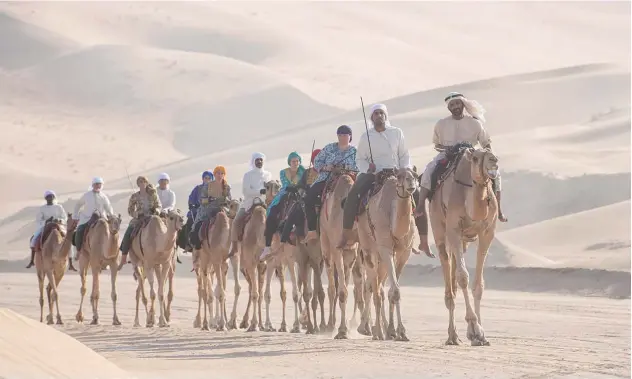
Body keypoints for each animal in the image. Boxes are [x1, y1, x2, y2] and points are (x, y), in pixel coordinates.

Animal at [237, 181, 282, 332]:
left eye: (278, 184)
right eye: (267, 186)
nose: (277, 189)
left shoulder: (270, 262)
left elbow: (266, 295)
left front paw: (269, 325)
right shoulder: (250, 262)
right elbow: (255, 294)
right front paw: (253, 324)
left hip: (260, 266)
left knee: (259, 290)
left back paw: (261, 324)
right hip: (244, 265)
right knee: (252, 288)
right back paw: (243, 322)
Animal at [318, 171, 362, 340]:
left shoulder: (351, 253)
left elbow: (346, 290)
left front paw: (345, 329)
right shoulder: (338, 250)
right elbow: (341, 291)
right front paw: (342, 330)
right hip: (325, 243)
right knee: (331, 287)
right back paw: (329, 325)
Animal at [356, 168, 420, 342]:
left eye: (415, 175)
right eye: (400, 176)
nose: (411, 184)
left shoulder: (404, 252)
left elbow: (394, 291)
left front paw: (396, 332)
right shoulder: (385, 247)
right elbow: (393, 290)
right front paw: (396, 331)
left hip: (381, 260)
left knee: (377, 288)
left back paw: (379, 330)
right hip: (368, 248)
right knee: (373, 289)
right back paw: (374, 331)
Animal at [430, 146, 498, 348]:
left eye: (491, 152)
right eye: (475, 158)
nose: (494, 161)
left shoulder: (487, 232)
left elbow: (478, 284)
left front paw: (481, 335)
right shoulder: (453, 229)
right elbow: (463, 278)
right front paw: (474, 329)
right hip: (439, 229)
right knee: (449, 282)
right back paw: (452, 336)